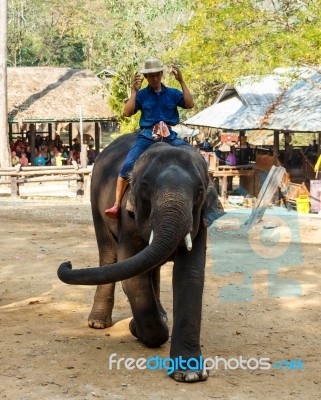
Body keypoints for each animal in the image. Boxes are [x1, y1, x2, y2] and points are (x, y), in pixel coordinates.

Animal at [57, 131, 222, 382]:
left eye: (200, 191)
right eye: (144, 187)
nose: (67, 263)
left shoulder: (201, 220)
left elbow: (191, 274)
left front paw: (190, 373)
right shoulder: (129, 214)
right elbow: (132, 273)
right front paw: (137, 329)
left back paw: (161, 315)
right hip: (97, 201)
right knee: (108, 254)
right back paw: (98, 323)